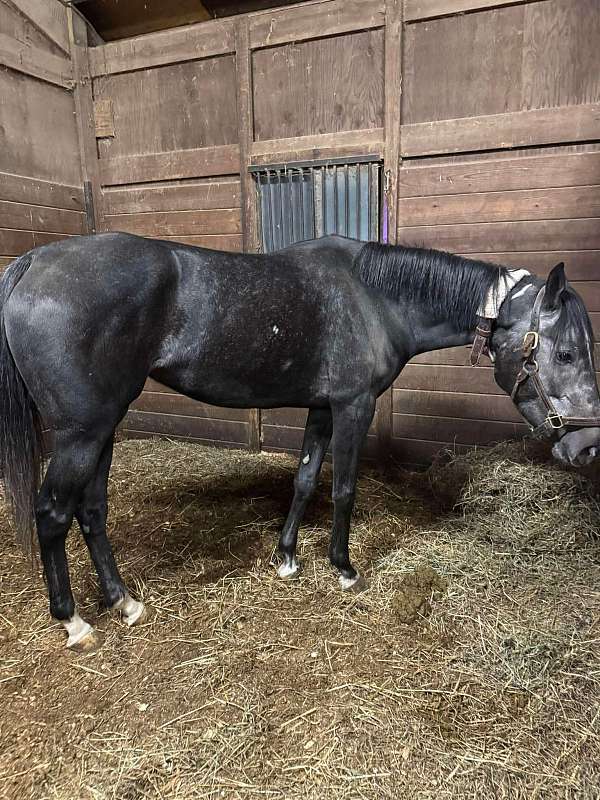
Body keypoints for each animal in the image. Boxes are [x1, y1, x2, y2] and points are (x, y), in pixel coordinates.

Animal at [1, 233, 599, 651]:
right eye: (567, 353)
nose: (587, 446)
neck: (375, 298)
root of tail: (34, 263)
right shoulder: (354, 405)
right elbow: (343, 489)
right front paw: (344, 568)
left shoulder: (321, 408)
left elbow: (307, 479)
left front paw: (287, 558)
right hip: (82, 432)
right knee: (52, 513)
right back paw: (75, 621)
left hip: (105, 425)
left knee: (92, 510)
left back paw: (124, 602)